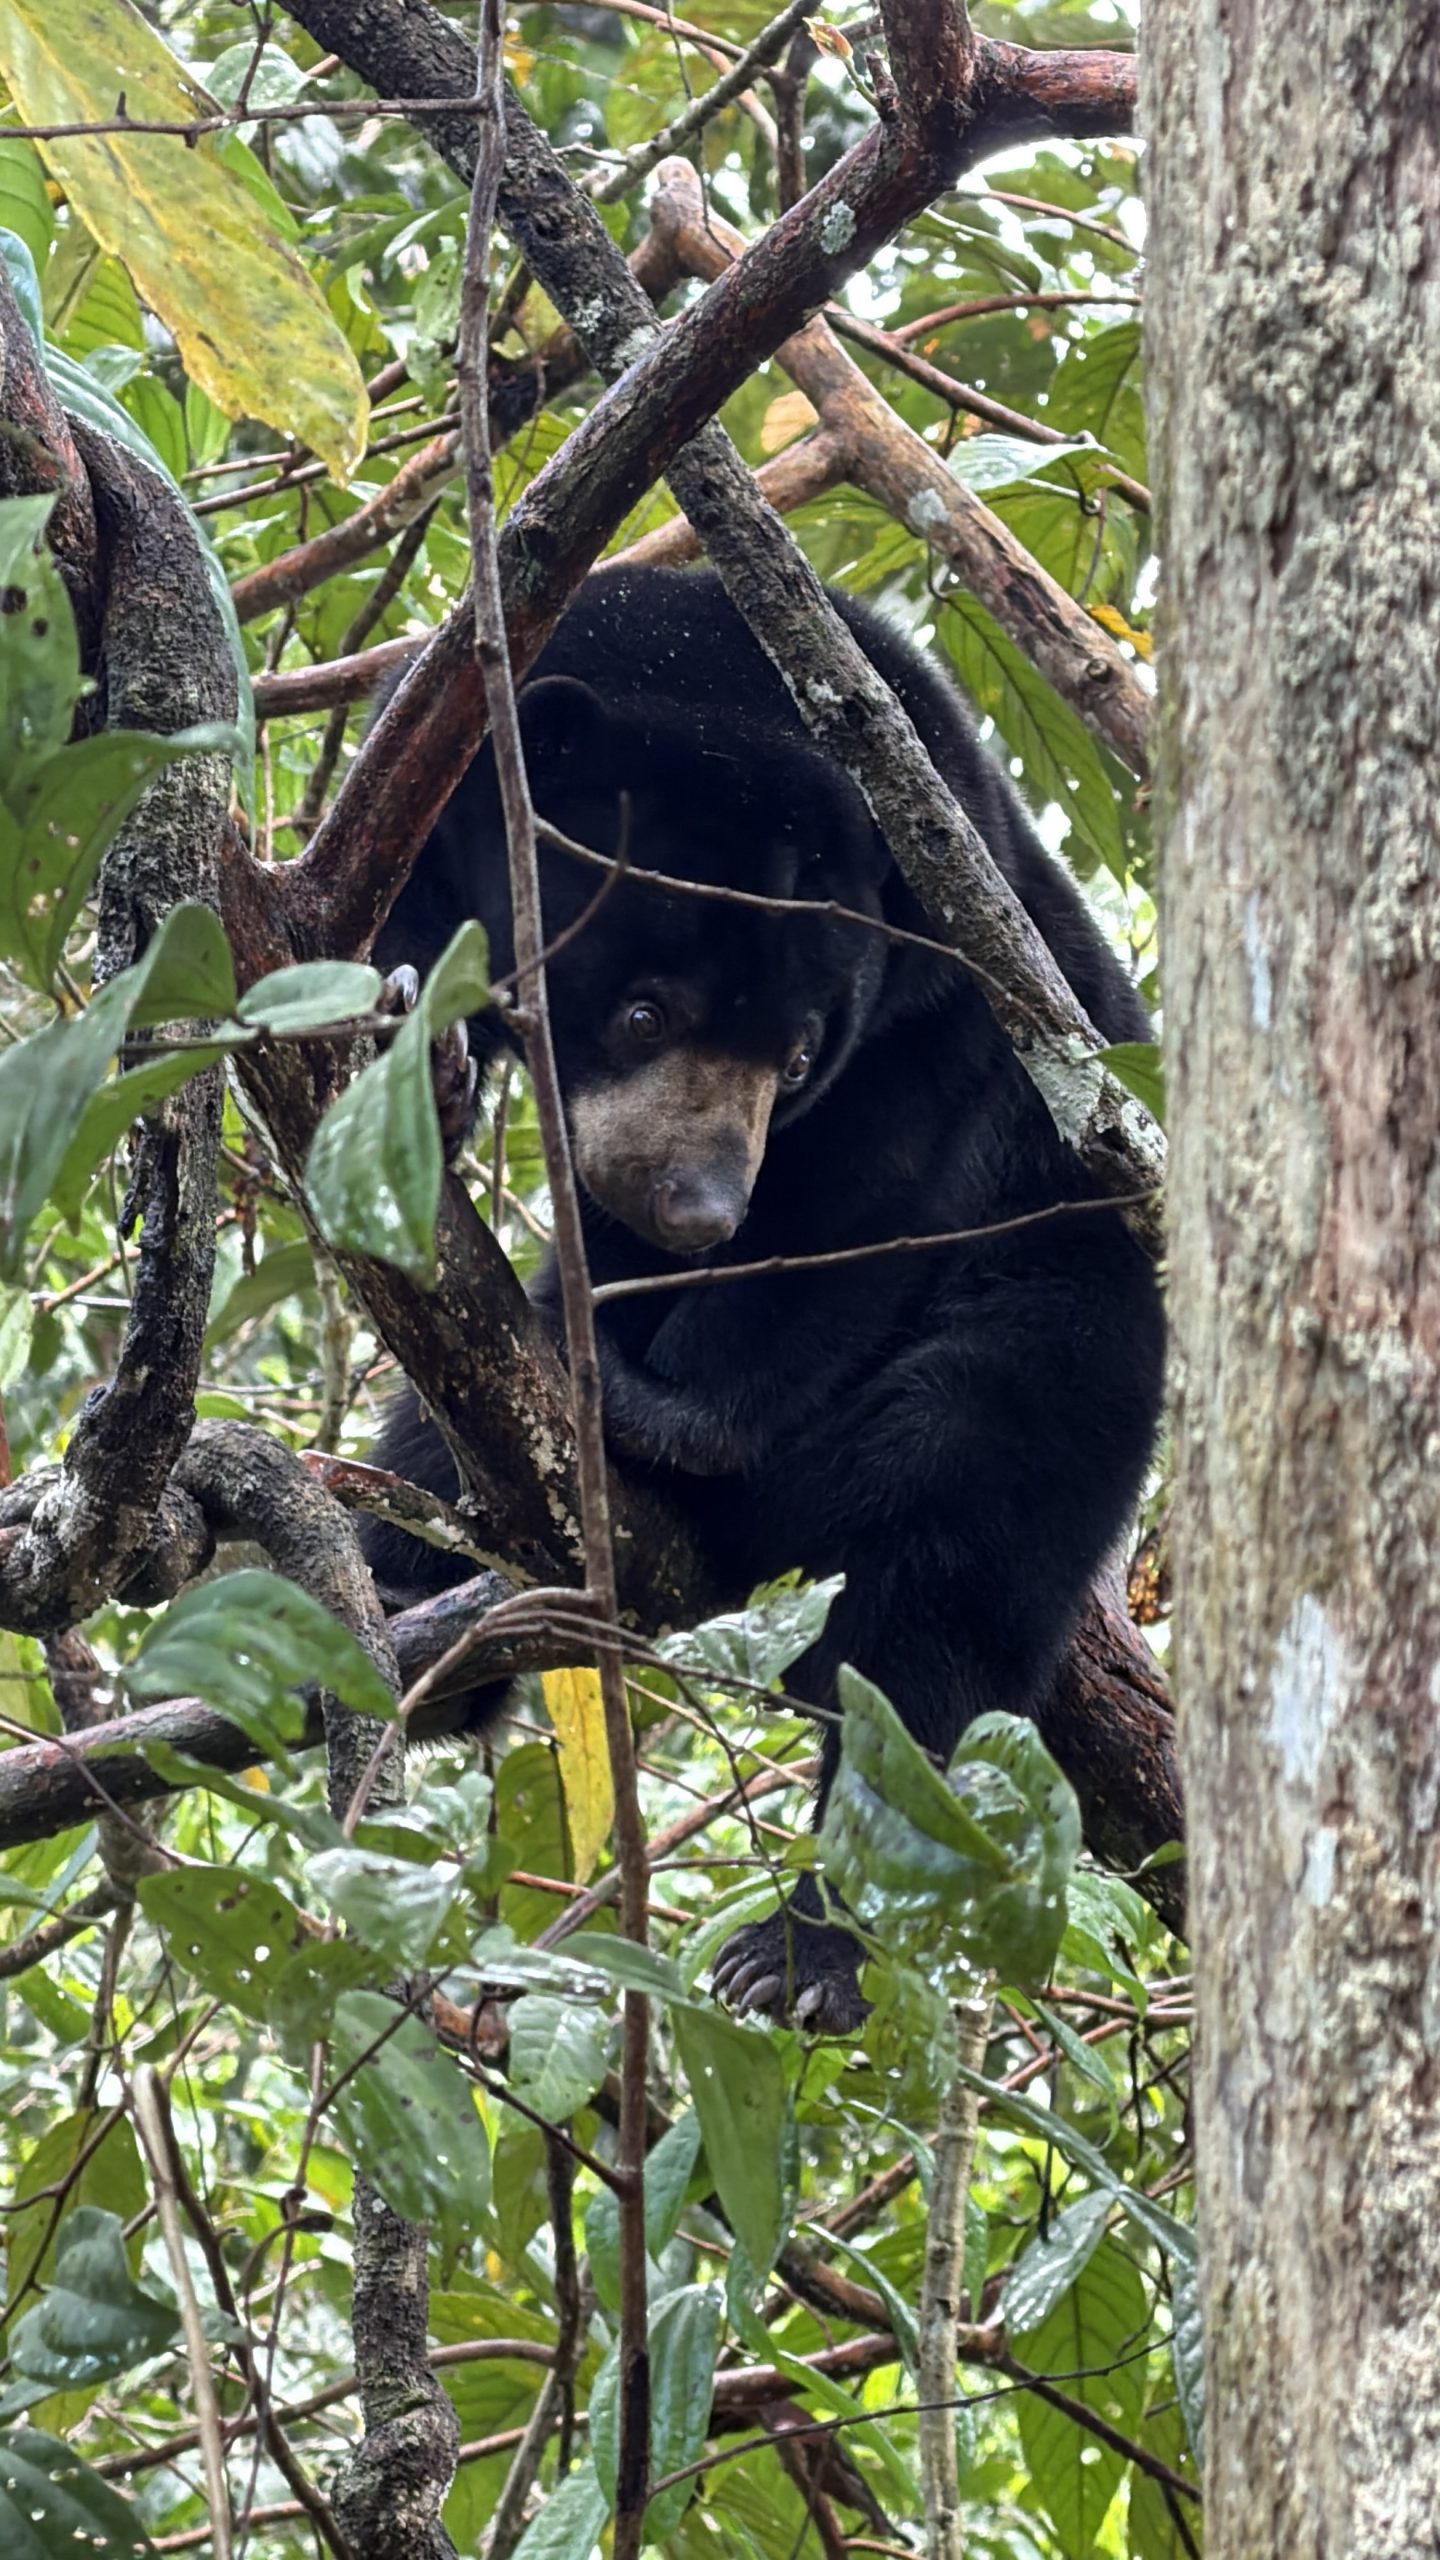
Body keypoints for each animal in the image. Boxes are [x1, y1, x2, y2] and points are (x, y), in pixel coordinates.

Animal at [362, 564, 1164, 2034]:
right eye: (643, 1011)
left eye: (793, 1059)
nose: (697, 1208)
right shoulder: (436, 751)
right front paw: (414, 1039)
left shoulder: (944, 973)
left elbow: (872, 1182)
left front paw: (671, 1410)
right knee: (439, 1437)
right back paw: (407, 1613)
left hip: (1077, 1338)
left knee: (950, 1556)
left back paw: (802, 1949)